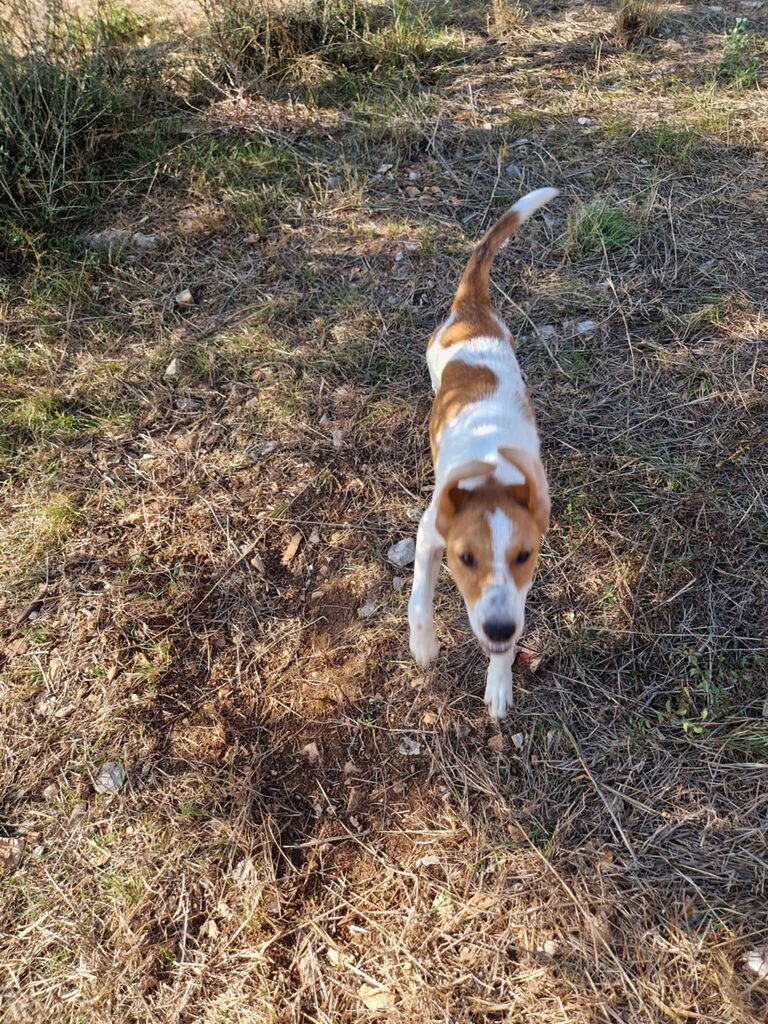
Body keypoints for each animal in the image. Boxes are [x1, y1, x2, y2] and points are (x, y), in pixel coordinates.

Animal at [408, 187, 559, 718]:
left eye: (524, 555)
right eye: (465, 558)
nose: (497, 628)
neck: (492, 471)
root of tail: (472, 308)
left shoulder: (520, 586)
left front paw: (499, 679)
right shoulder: (429, 534)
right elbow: (417, 599)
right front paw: (424, 645)